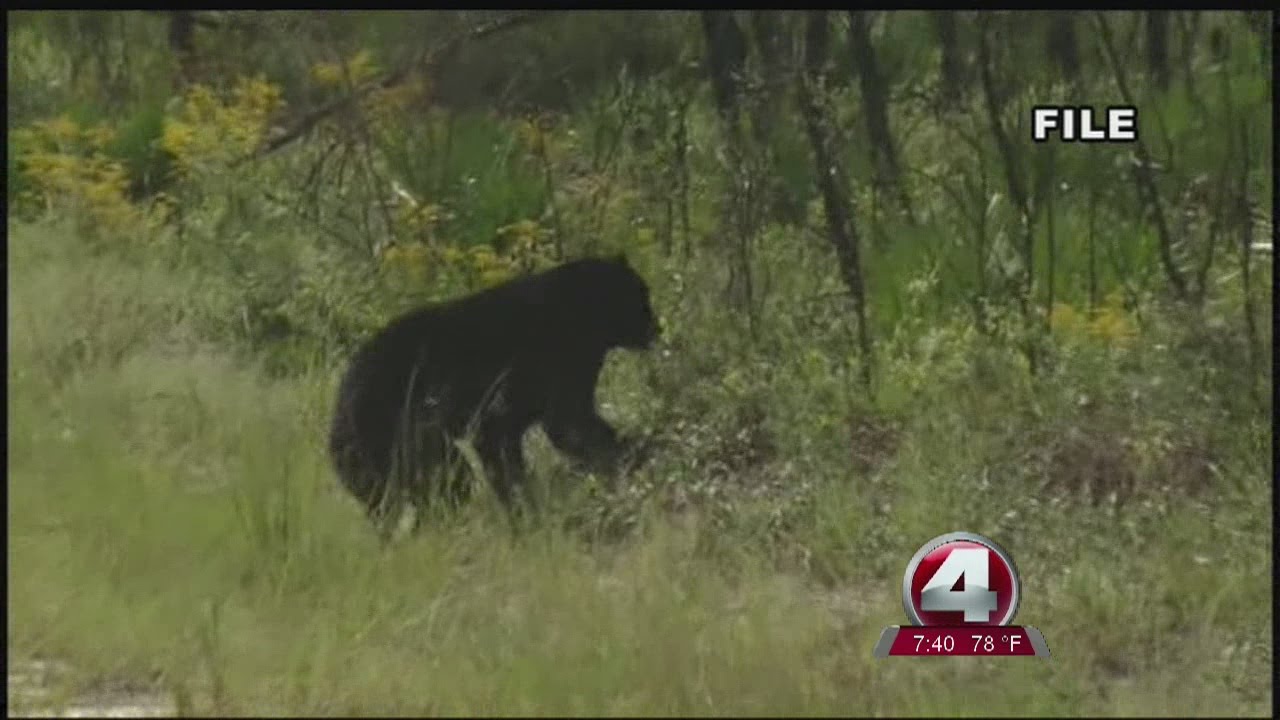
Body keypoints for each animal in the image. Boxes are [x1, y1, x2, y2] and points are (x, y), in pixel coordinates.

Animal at [327, 254, 660, 537]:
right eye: (641, 297)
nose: (656, 329)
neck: (580, 314)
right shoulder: (555, 361)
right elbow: (568, 425)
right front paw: (634, 451)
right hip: (397, 433)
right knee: (444, 479)